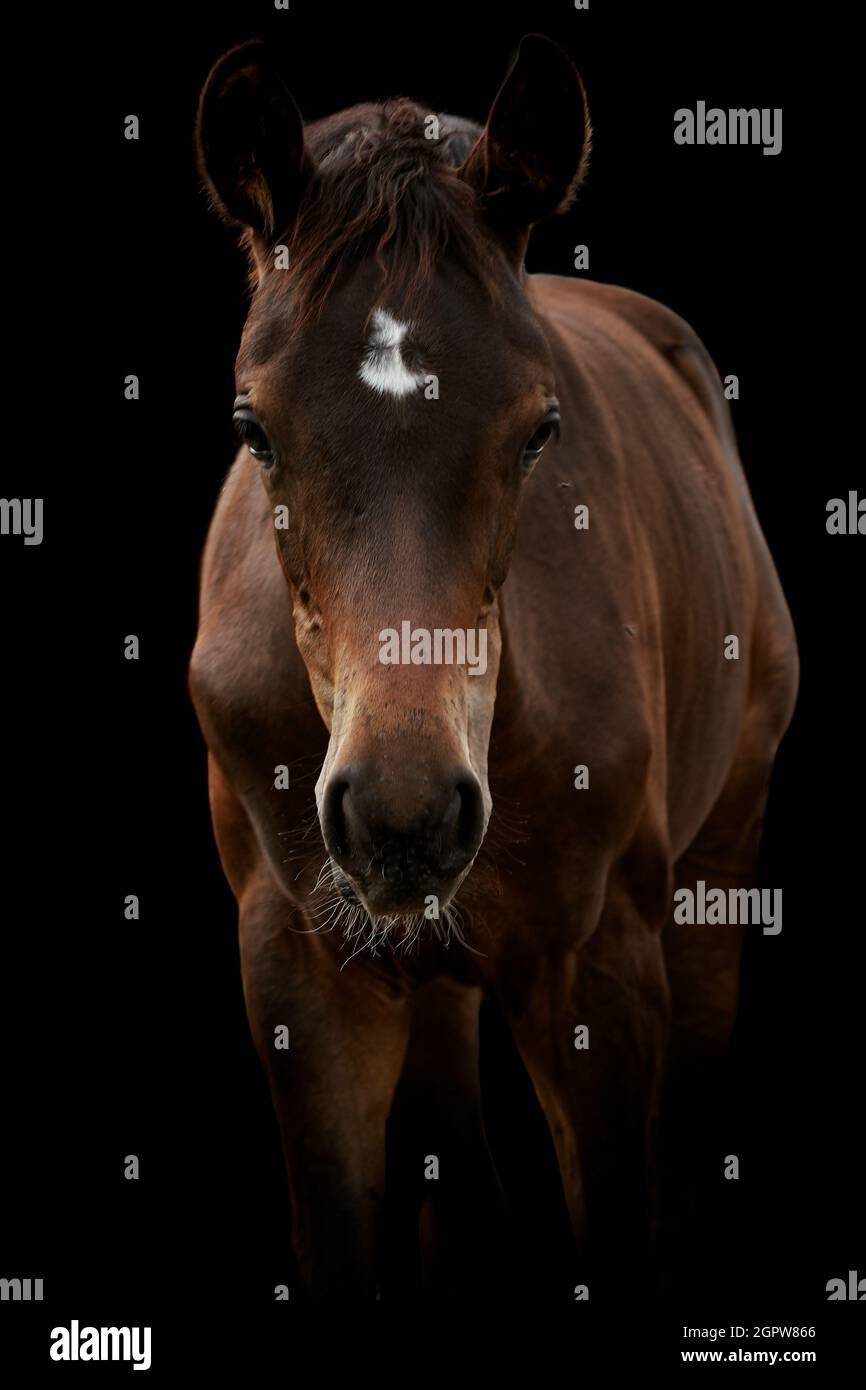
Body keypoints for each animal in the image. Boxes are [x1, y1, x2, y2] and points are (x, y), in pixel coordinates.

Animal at [189, 32, 800, 1295]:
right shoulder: (299, 973)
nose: (403, 813)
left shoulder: (599, 975)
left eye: (538, 429)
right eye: (251, 428)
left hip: (716, 874)